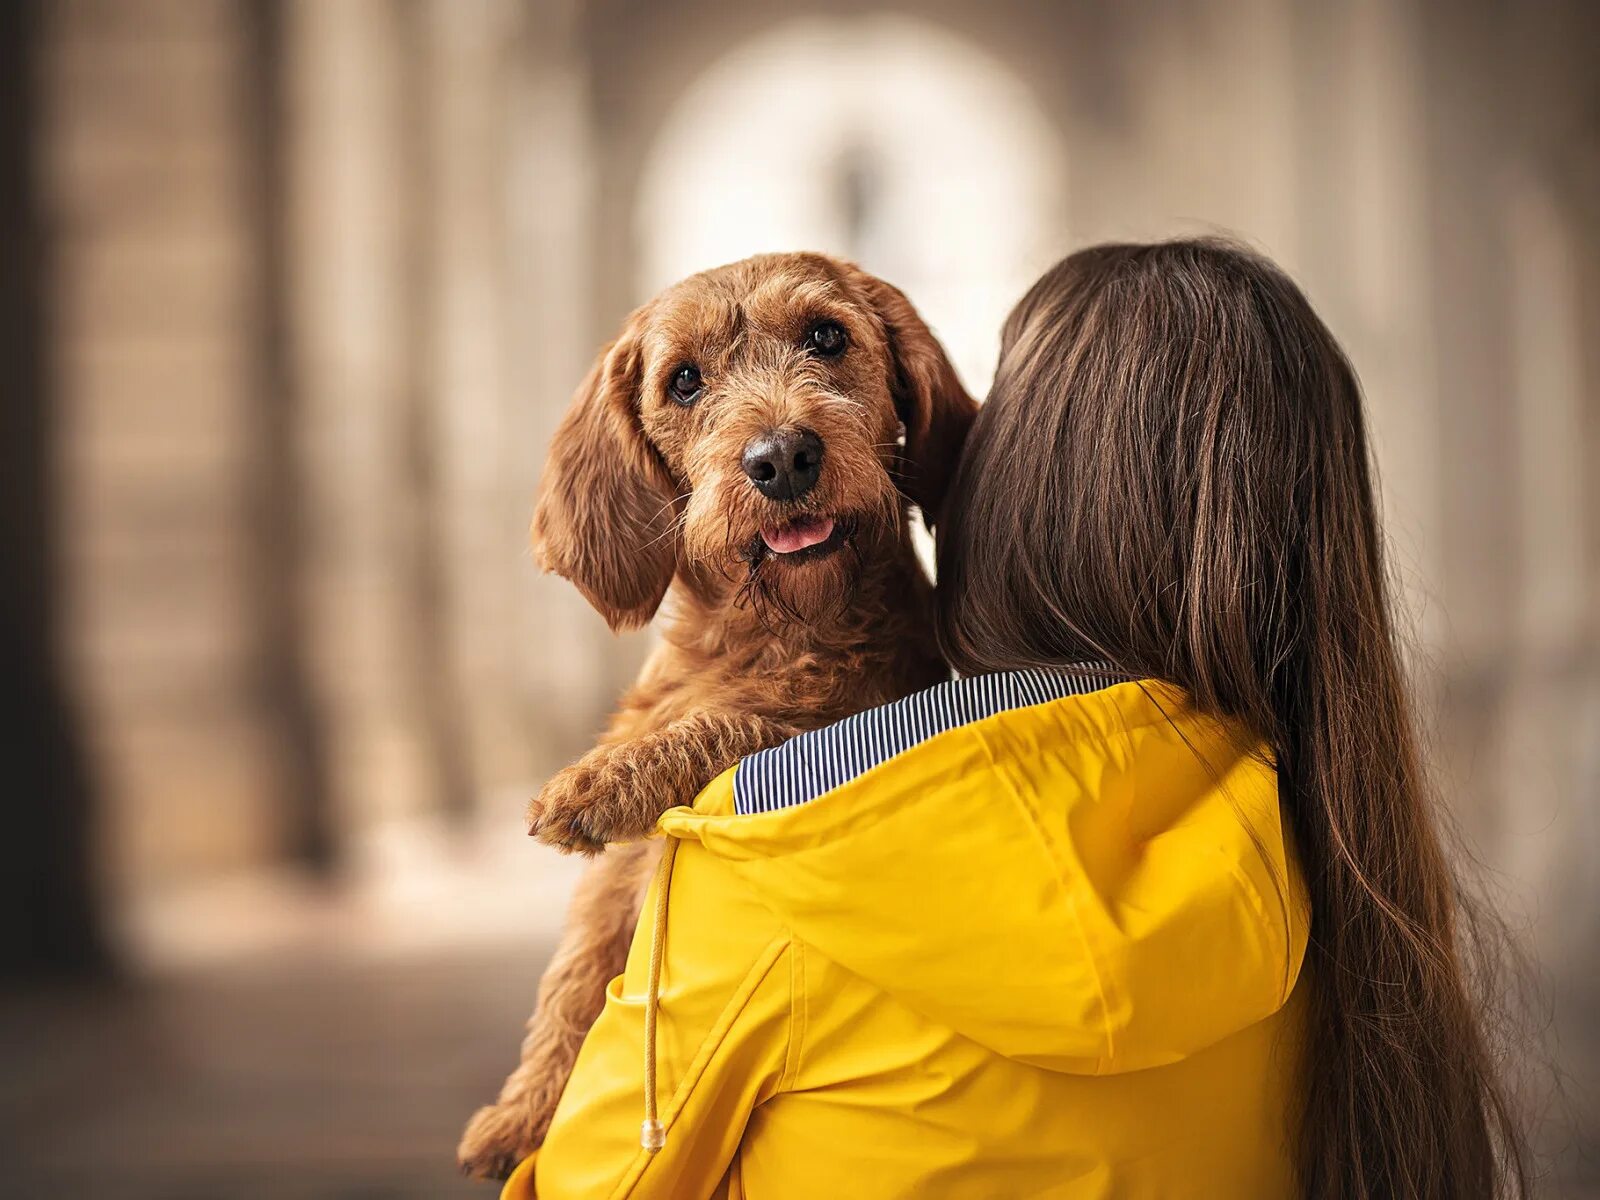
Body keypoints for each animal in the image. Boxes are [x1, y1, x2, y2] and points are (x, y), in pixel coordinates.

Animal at [454, 254, 972, 1184]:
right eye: (684, 381)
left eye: (827, 336)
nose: (783, 456)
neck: (761, 637)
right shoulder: (611, 889)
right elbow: (574, 971)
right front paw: (522, 1115)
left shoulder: (831, 713)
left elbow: (736, 723)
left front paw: (596, 786)